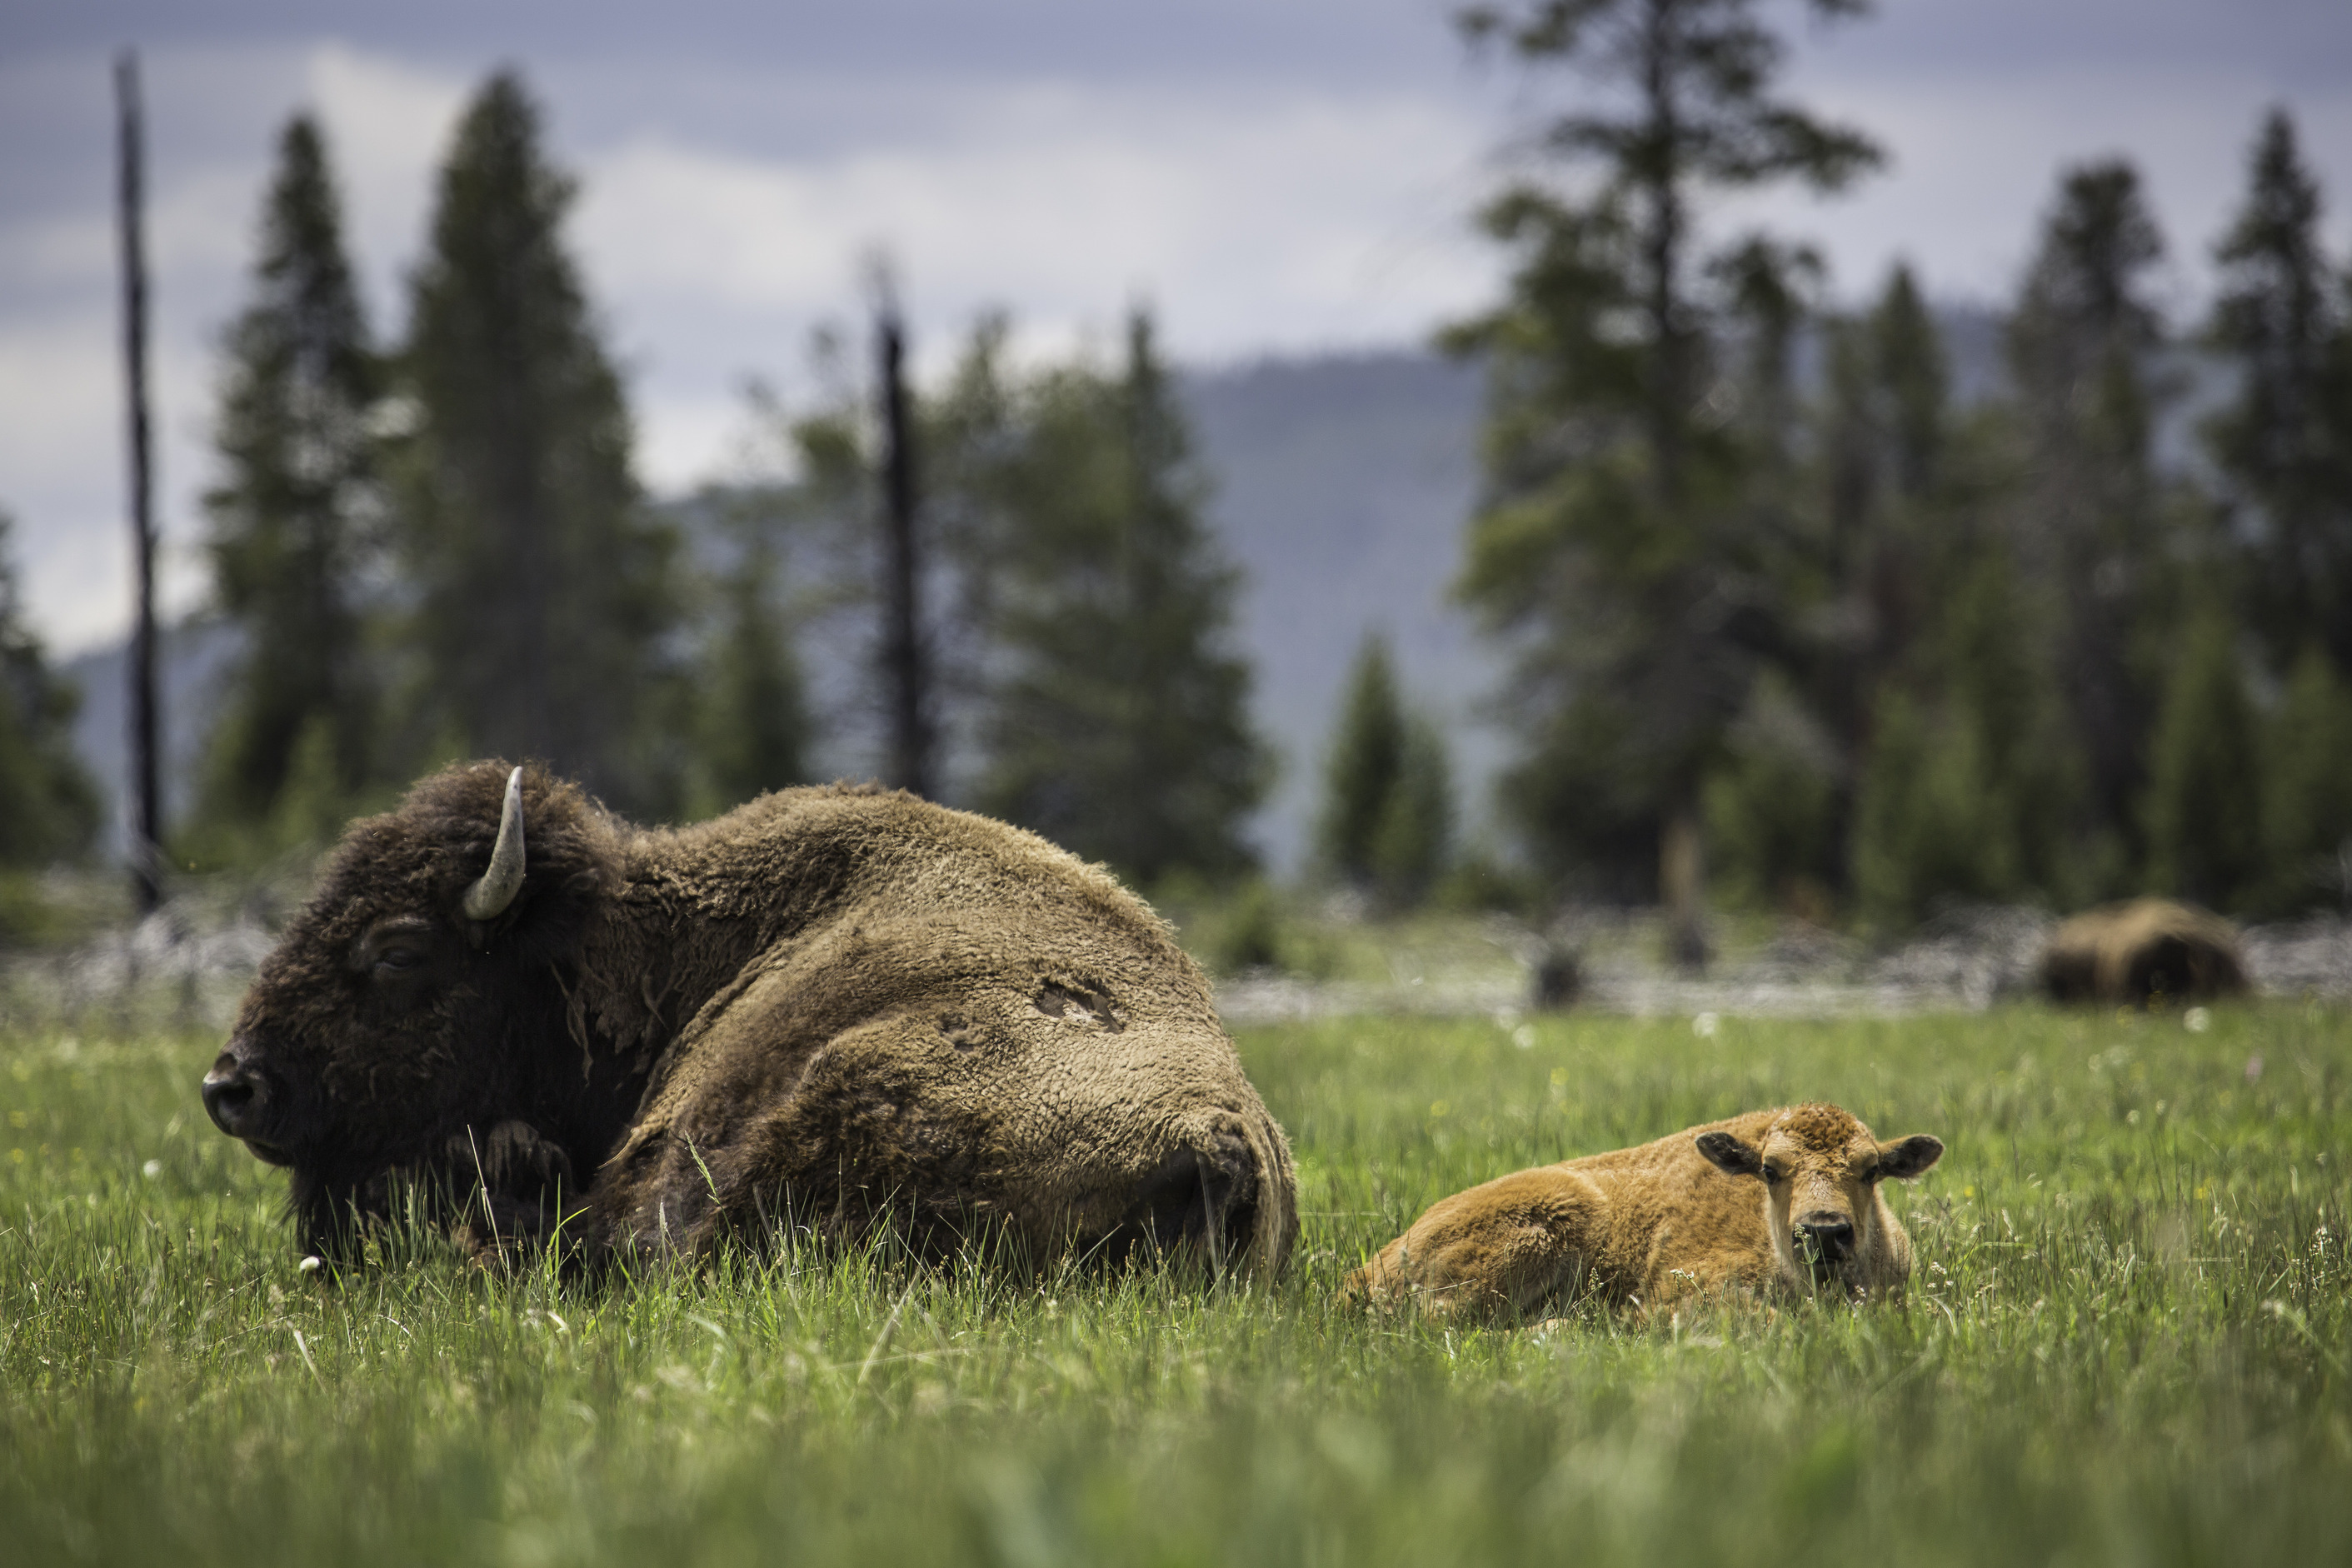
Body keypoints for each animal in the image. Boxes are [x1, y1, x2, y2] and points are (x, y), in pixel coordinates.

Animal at [1345, 1102, 1943, 1323]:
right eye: (1770, 1170)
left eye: (1871, 1169)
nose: (1823, 1232)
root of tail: (1364, 1273)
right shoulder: (1683, 1290)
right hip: (1551, 1224)